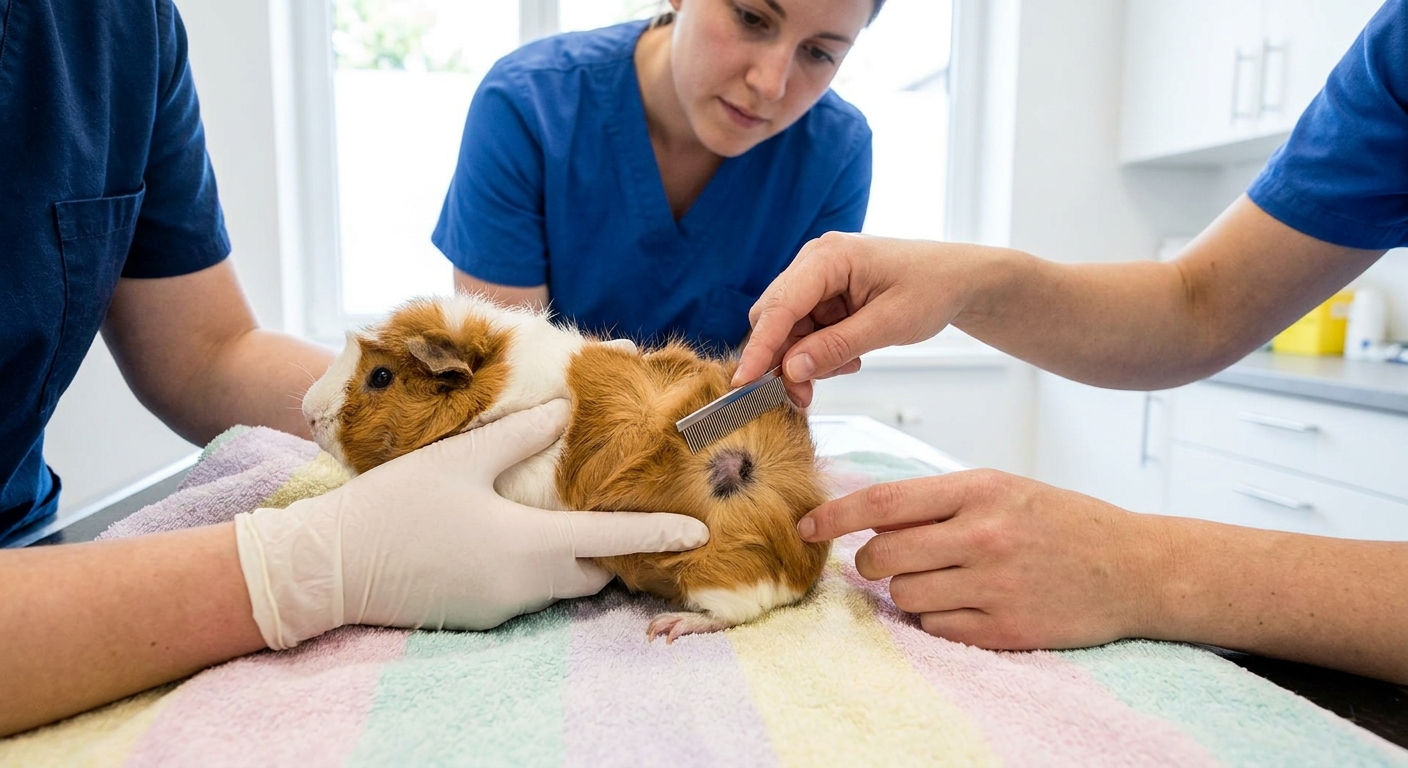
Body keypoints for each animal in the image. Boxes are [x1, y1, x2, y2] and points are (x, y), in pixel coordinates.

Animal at [301, 294, 830, 641]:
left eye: (380, 376)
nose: (308, 412)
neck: (500, 398)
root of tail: (804, 565)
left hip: (716, 574)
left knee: (736, 613)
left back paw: (667, 626)